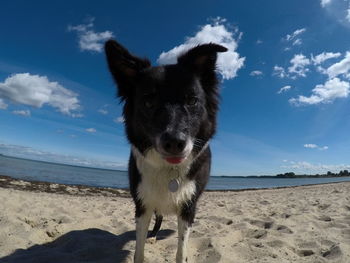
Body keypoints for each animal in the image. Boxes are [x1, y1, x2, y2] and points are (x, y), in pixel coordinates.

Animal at [104, 39, 227, 263]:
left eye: (192, 100)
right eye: (148, 102)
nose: (175, 143)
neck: (168, 170)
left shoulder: (188, 207)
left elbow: (181, 250)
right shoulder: (142, 202)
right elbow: (139, 252)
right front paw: (146, 242)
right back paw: (153, 235)